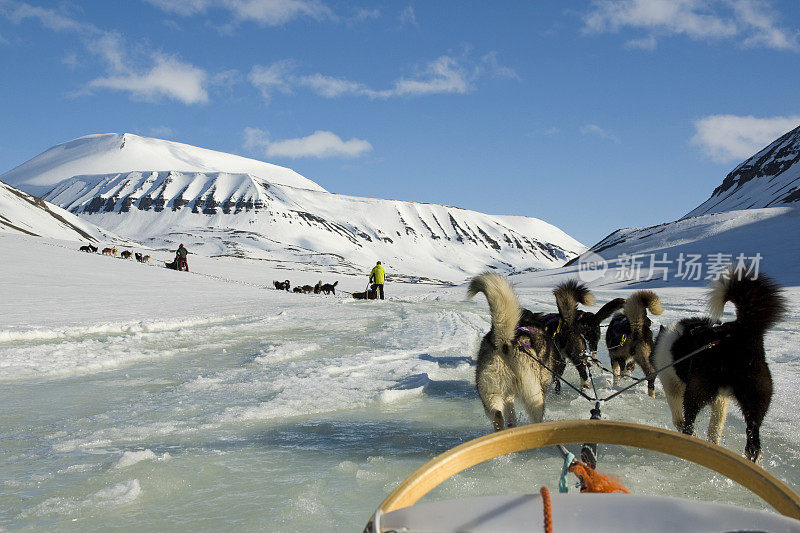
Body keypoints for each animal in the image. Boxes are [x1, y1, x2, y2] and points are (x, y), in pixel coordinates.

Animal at [466, 272, 552, 430]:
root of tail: (505, 343)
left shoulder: (508, 394)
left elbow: (510, 413)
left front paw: (512, 424)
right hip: (533, 394)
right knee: (536, 416)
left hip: (490, 392)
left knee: (497, 414)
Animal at [656, 268, 788, 460]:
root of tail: (741, 331)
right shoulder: (720, 399)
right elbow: (715, 426)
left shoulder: (671, 385)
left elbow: (678, 418)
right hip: (757, 394)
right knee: (753, 438)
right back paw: (752, 456)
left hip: (696, 388)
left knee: (689, 420)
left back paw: (689, 438)